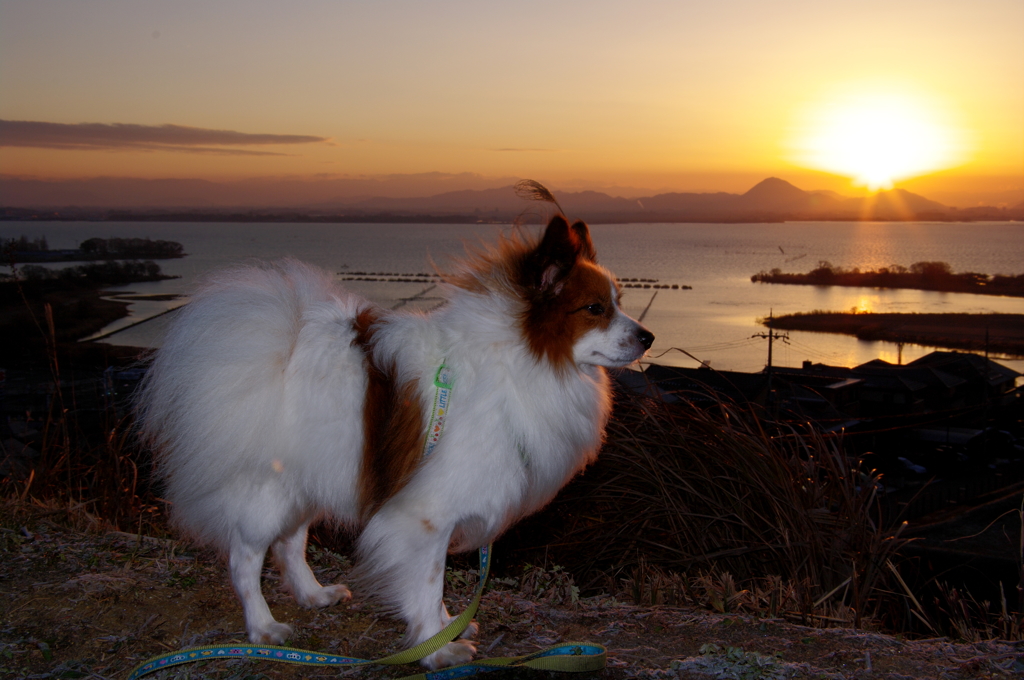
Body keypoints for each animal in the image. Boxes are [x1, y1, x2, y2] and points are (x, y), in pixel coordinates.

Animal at [134, 213, 655, 667]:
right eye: (595, 310)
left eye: (621, 302)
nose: (648, 337)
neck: (523, 359)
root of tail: (279, 344)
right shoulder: (425, 516)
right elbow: (426, 584)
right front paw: (436, 648)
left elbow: (434, 586)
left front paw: (448, 628)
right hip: (268, 492)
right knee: (245, 559)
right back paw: (263, 627)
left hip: (307, 480)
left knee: (291, 543)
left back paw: (312, 594)